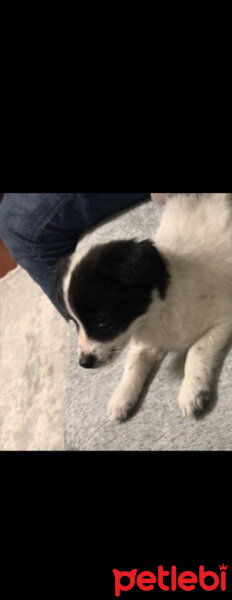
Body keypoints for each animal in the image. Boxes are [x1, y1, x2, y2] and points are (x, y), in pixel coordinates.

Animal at [53, 195, 232, 420]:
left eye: (102, 320)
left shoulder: (224, 316)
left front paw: (192, 389)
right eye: (75, 323)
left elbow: (197, 349)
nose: (84, 363)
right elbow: (134, 361)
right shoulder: (146, 338)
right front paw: (121, 396)